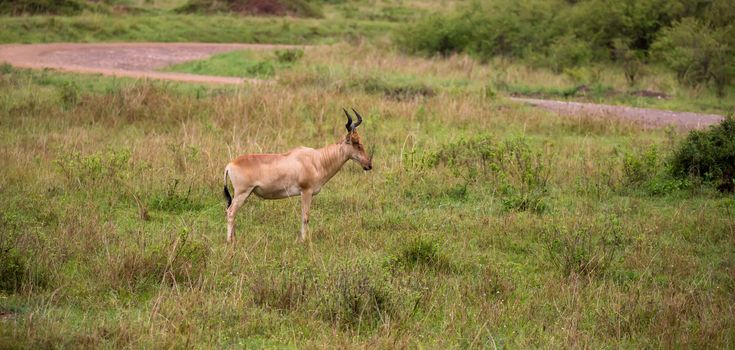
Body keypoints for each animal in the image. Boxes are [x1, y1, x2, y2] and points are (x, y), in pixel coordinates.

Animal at [223, 108, 374, 242]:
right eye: (355, 142)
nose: (368, 165)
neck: (316, 159)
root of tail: (230, 165)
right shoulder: (306, 192)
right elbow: (305, 217)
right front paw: (302, 241)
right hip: (242, 193)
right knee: (230, 212)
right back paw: (229, 241)